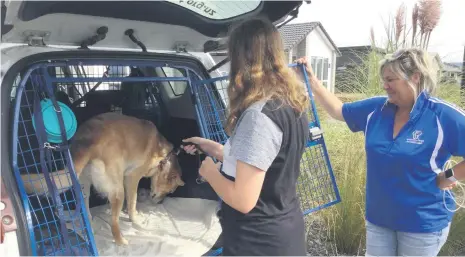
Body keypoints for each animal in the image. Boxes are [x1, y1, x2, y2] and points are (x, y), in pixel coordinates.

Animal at [21, 112, 185, 244]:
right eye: (170, 191)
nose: (161, 202)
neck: (163, 156)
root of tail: (90, 140)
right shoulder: (131, 178)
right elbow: (133, 202)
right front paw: (135, 219)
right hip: (118, 190)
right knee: (114, 223)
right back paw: (121, 241)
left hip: (84, 185)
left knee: (86, 210)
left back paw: (91, 227)